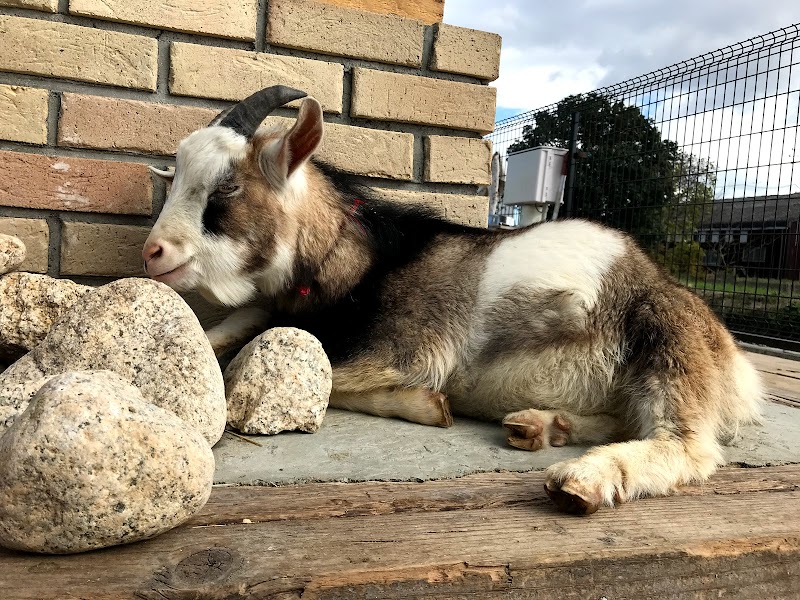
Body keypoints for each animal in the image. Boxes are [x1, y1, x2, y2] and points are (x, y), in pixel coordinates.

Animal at [142, 84, 764, 516]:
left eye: (227, 187)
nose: (153, 252)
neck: (363, 258)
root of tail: (730, 357)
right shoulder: (277, 308)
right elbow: (231, 330)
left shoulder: (408, 348)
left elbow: (322, 379)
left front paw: (427, 404)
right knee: (621, 419)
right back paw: (540, 427)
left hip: (666, 338)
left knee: (687, 444)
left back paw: (581, 480)